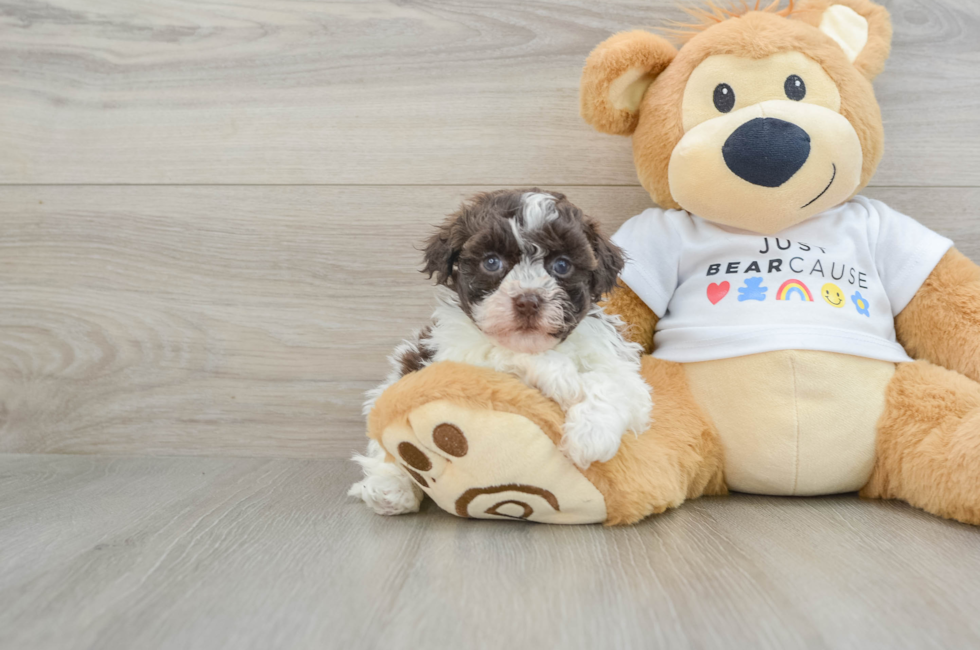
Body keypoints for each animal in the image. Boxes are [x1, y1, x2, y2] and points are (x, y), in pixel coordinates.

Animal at [348, 190, 656, 512]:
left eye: (561, 265)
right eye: (492, 262)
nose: (528, 301)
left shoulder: (616, 363)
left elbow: (614, 384)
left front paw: (592, 434)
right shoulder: (451, 355)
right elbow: (498, 352)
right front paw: (563, 378)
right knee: (384, 449)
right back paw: (390, 487)